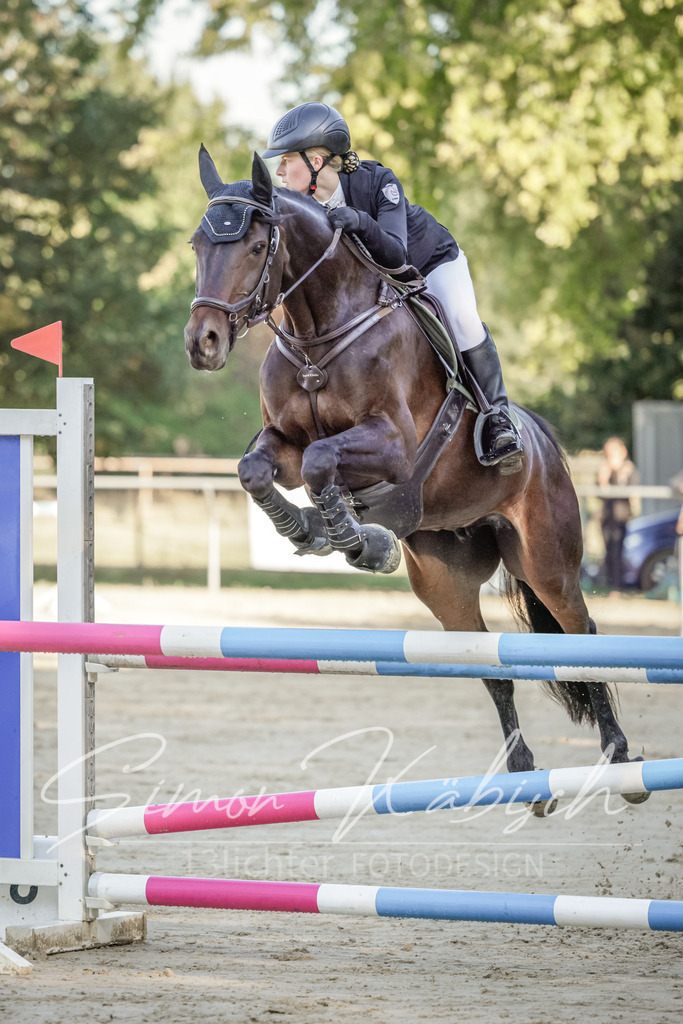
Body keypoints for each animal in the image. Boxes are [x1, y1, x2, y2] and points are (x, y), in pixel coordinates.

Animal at [184, 147, 646, 806]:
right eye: (198, 245)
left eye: (252, 246)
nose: (203, 343)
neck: (319, 333)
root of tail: (540, 437)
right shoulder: (284, 445)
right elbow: (257, 469)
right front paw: (311, 530)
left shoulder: (394, 447)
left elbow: (324, 459)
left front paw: (356, 540)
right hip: (444, 580)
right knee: (492, 667)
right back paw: (526, 777)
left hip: (548, 561)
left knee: (580, 636)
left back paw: (619, 759)